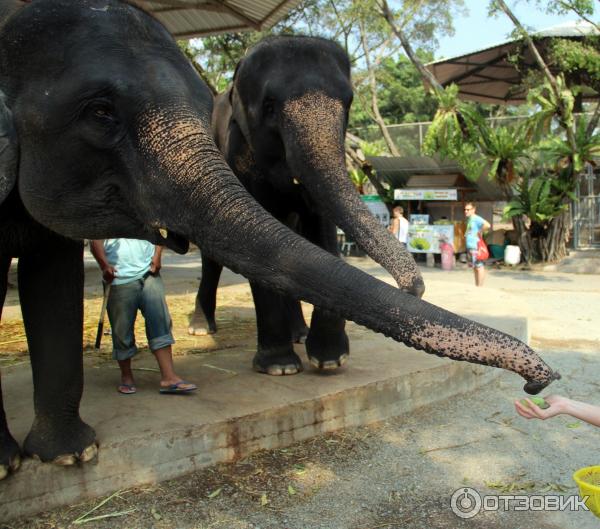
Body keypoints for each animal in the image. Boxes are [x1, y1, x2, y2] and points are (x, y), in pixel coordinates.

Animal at [190, 36, 424, 376]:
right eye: (270, 106)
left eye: (349, 102)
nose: (410, 290)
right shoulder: (239, 155)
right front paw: (280, 367)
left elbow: (323, 238)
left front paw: (329, 360)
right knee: (212, 258)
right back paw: (201, 328)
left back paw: (299, 334)